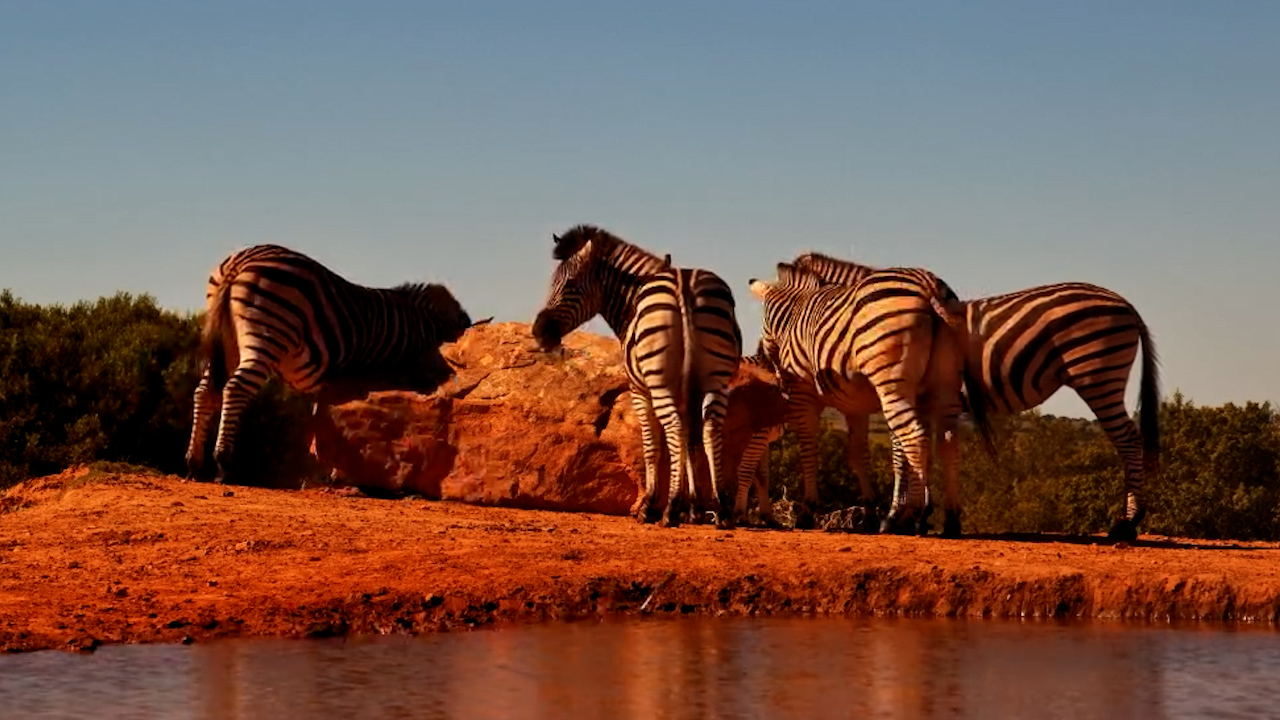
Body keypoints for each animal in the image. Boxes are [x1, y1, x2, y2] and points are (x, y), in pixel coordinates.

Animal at [184, 244, 474, 483]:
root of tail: (240, 261)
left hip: (228, 339)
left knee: (204, 391)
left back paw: (194, 463)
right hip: (269, 333)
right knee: (235, 388)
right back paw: (224, 464)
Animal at [532, 225, 743, 528]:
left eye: (570, 284)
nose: (538, 332)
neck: (633, 301)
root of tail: (685, 284)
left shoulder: (638, 389)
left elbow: (652, 444)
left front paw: (651, 506)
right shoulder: (689, 389)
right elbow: (691, 441)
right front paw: (694, 509)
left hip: (659, 379)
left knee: (674, 428)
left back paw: (670, 509)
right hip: (718, 380)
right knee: (710, 428)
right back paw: (722, 511)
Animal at [750, 261, 994, 534]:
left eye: (764, 320)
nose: (763, 361)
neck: (796, 315)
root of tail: (928, 285)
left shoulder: (804, 396)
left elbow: (808, 449)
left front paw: (808, 510)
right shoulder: (854, 406)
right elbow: (858, 455)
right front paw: (869, 513)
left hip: (892, 382)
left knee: (915, 437)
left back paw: (912, 515)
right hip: (945, 385)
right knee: (948, 442)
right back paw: (950, 520)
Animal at [792, 251, 1160, 541]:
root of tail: (1127, 305)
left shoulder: (902, 394)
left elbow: (901, 456)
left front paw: (899, 517)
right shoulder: (928, 401)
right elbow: (930, 451)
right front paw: (925, 515)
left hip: (1098, 376)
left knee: (1129, 441)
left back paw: (1127, 524)